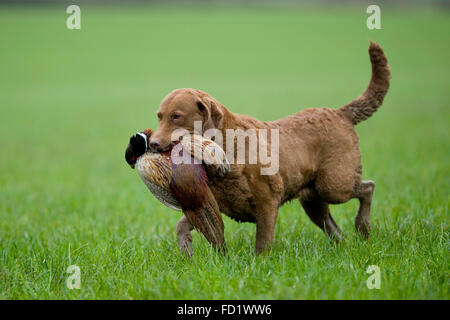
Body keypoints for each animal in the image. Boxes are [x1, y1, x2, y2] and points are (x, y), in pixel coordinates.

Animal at [149, 41, 388, 254]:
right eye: (159, 116)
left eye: (176, 116)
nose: (152, 143)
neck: (229, 146)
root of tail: (340, 112)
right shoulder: (212, 203)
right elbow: (183, 223)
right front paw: (185, 248)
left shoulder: (267, 203)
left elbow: (262, 243)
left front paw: (259, 264)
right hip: (312, 199)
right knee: (335, 229)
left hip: (334, 185)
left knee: (368, 187)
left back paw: (363, 226)